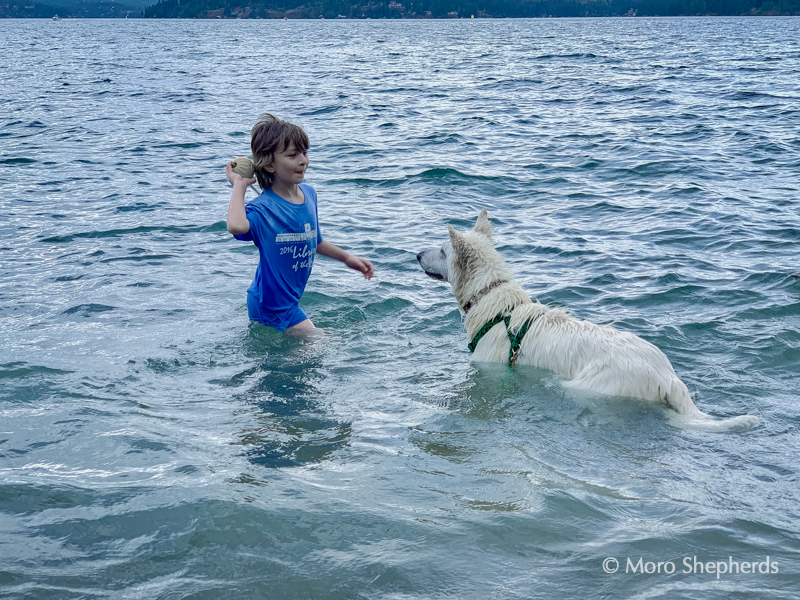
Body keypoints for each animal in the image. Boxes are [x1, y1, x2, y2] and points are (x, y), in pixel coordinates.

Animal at [416, 210, 760, 432]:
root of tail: (668, 376)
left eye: (442, 250)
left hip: (586, 386)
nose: (416, 254)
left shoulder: (491, 371)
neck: (492, 295)